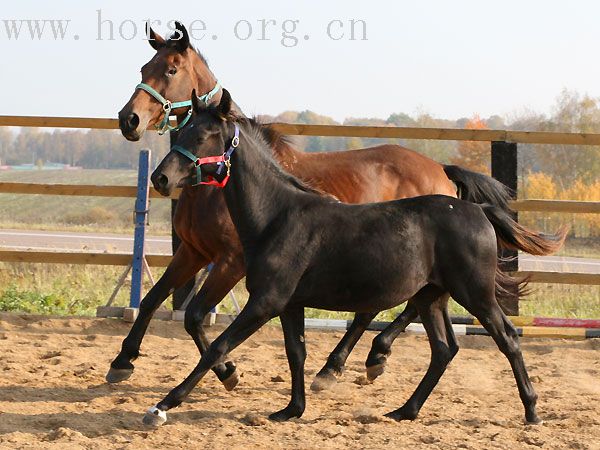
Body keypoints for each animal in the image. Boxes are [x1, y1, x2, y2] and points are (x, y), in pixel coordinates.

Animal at [109, 22, 516, 392]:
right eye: (144, 69)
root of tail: (441, 170)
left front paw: (227, 371)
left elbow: (194, 316)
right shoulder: (193, 252)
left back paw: (356, 360)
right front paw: (122, 361)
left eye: (171, 69)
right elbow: (152, 300)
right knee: (394, 306)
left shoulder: (230, 262)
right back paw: (355, 361)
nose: (129, 120)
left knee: (388, 308)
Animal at [142, 90, 568, 426]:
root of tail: (478, 209)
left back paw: (532, 411)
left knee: (507, 339)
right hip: (432, 297)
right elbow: (296, 352)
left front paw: (162, 406)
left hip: (475, 293)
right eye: (182, 131)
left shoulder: (266, 301)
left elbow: (218, 346)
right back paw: (404, 409)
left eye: (204, 135)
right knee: (444, 350)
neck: (277, 215)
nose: (160, 178)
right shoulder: (290, 304)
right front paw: (292, 409)